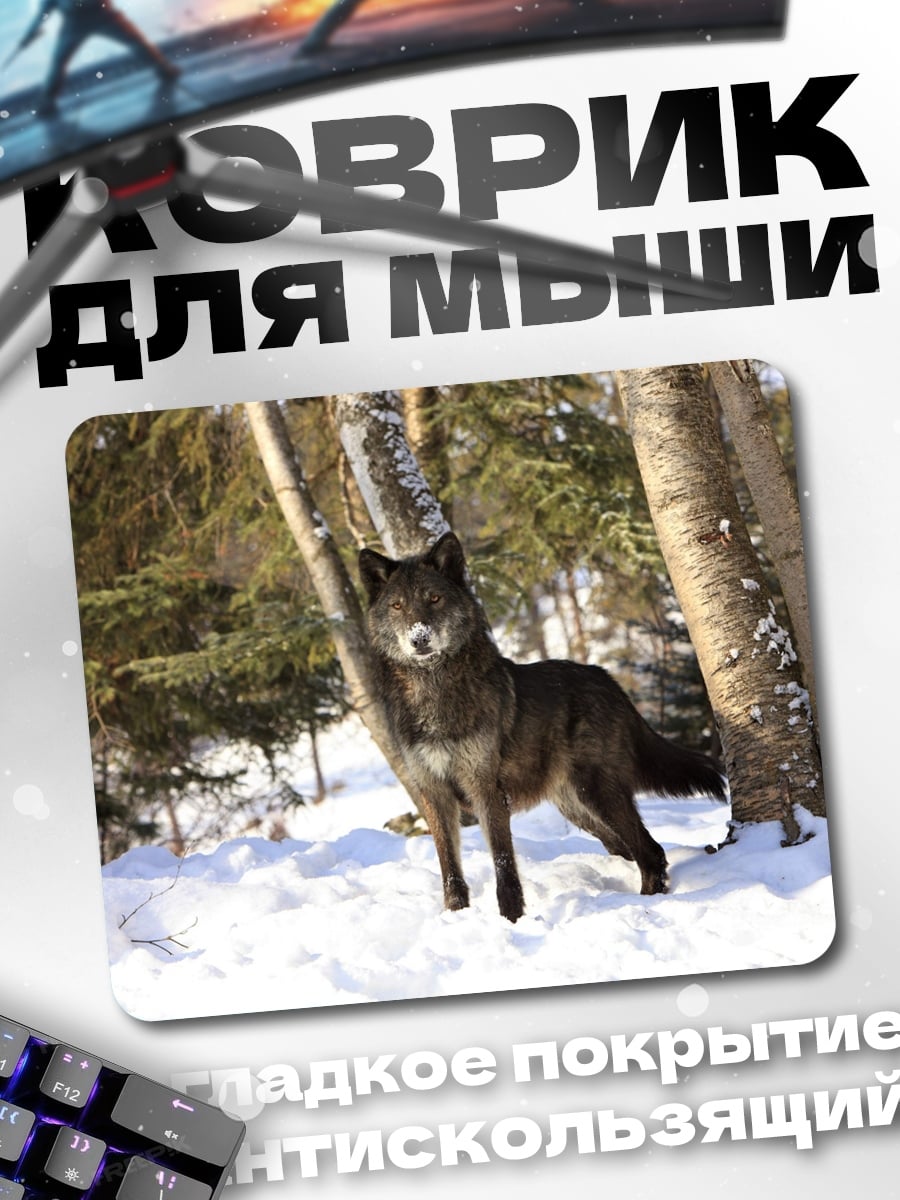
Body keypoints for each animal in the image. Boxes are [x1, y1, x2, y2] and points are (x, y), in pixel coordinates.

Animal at [359, 531, 726, 923]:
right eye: (397, 606)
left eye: (434, 598)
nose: (419, 638)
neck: (434, 693)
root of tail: (608, 680)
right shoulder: (434, 794)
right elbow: (449, 870)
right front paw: (456, 916)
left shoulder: (486, 790)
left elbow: (504, 865)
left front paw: (512, 921)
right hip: (579, 808)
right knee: (634, 849)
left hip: (597, 794)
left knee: (651, 852)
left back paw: (645, 906)